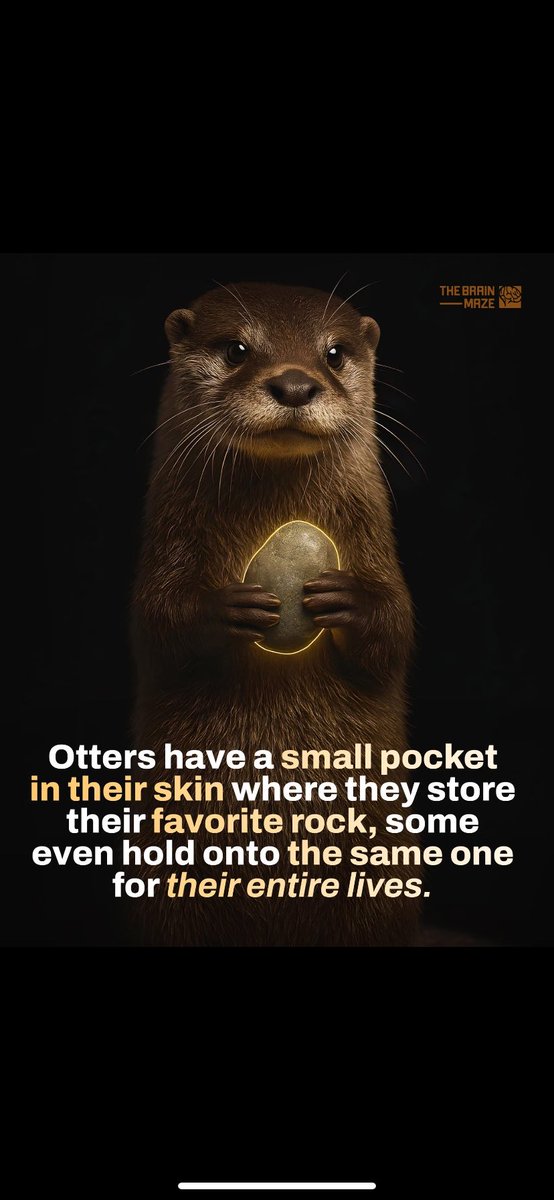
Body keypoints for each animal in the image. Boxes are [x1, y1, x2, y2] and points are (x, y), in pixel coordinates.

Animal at [132, 282, 417, 946]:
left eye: (333, 353)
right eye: (237, 348)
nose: (293, 383)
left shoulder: (379, 551)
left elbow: (396, 629)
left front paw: (350, 602)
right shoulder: (165, 552)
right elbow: (156, 623)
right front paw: (223, 608)